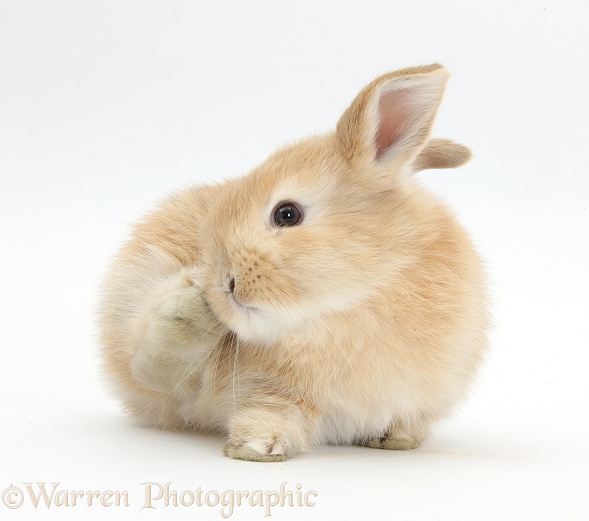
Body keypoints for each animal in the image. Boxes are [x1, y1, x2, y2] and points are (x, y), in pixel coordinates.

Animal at [100, 64, 486, 460]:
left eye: (287, 214)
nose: (225, 284)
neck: (353, 301)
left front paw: (396, 438)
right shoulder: (276, 393)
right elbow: (272, 409)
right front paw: (255, 446)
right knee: (148, 360)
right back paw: (190, 308)